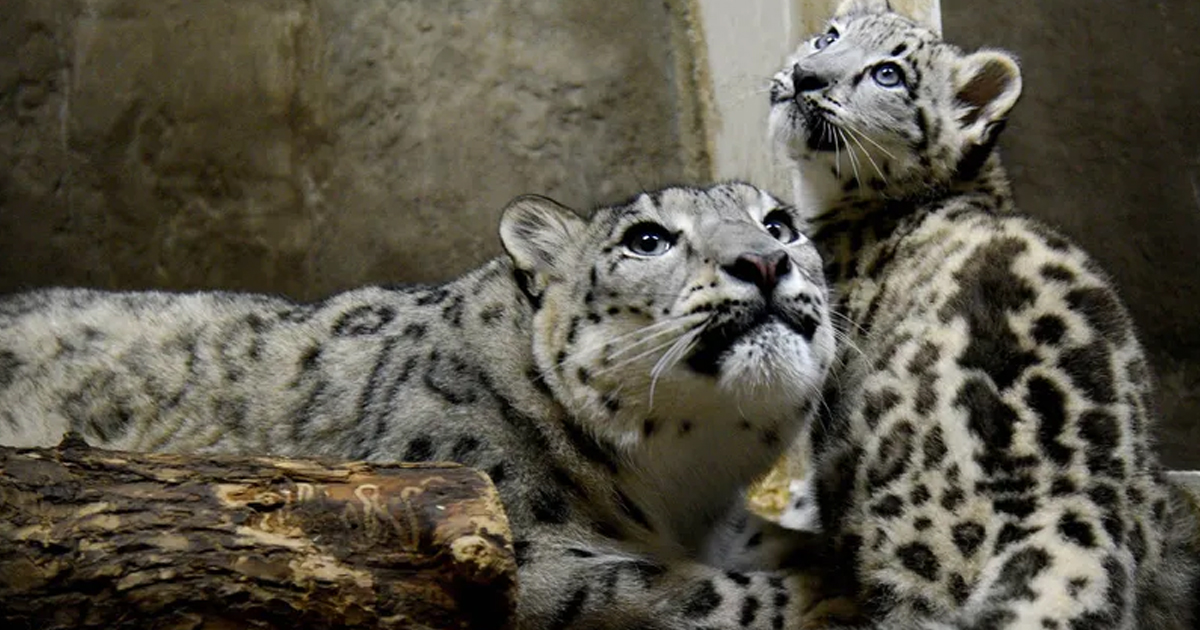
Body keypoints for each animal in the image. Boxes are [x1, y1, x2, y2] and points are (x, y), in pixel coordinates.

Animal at [2, 182, 844, 628]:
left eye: (779, 222)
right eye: (647, 238)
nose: (764, 260)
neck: (679, 492)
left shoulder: (731, 526)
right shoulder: (523, 557)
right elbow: (691, 593)